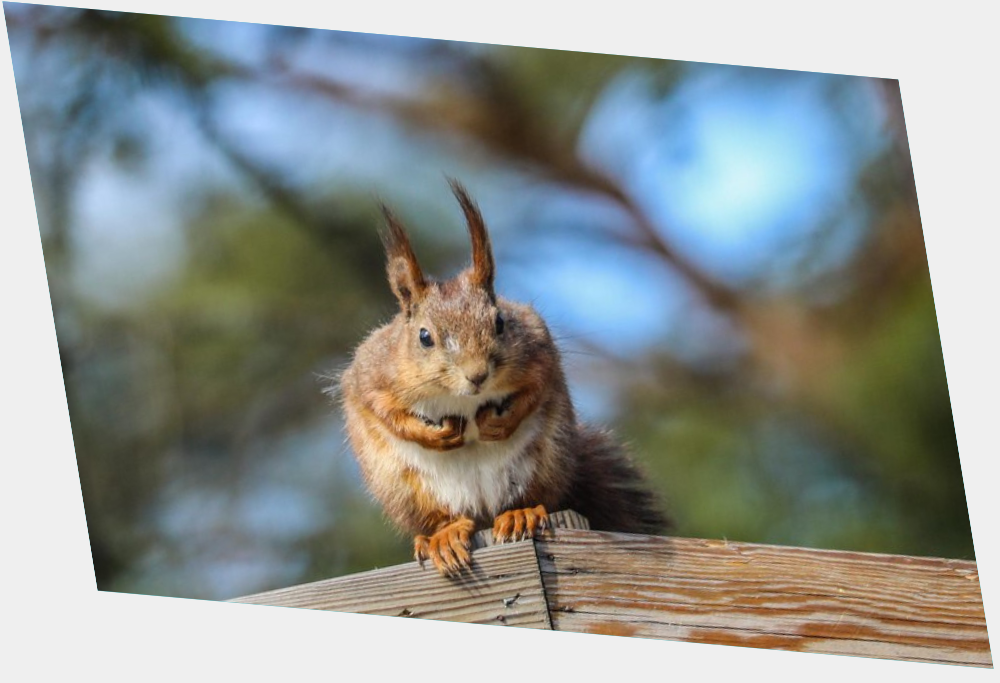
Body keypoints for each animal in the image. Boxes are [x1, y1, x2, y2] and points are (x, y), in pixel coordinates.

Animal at [338, 180, 669, 576]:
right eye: (424, 337)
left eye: (499, 322)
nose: (477, 375)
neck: (462, 399)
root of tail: (481, 511)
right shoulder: (371, 372)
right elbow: (382, 408)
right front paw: (435, 435)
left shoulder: (539, 348)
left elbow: (538, 385)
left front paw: (499, 422)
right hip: (402, 488)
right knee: (438, 518)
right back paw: (443, 536)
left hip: (546, 460)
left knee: (534, 498)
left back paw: (519, 515)